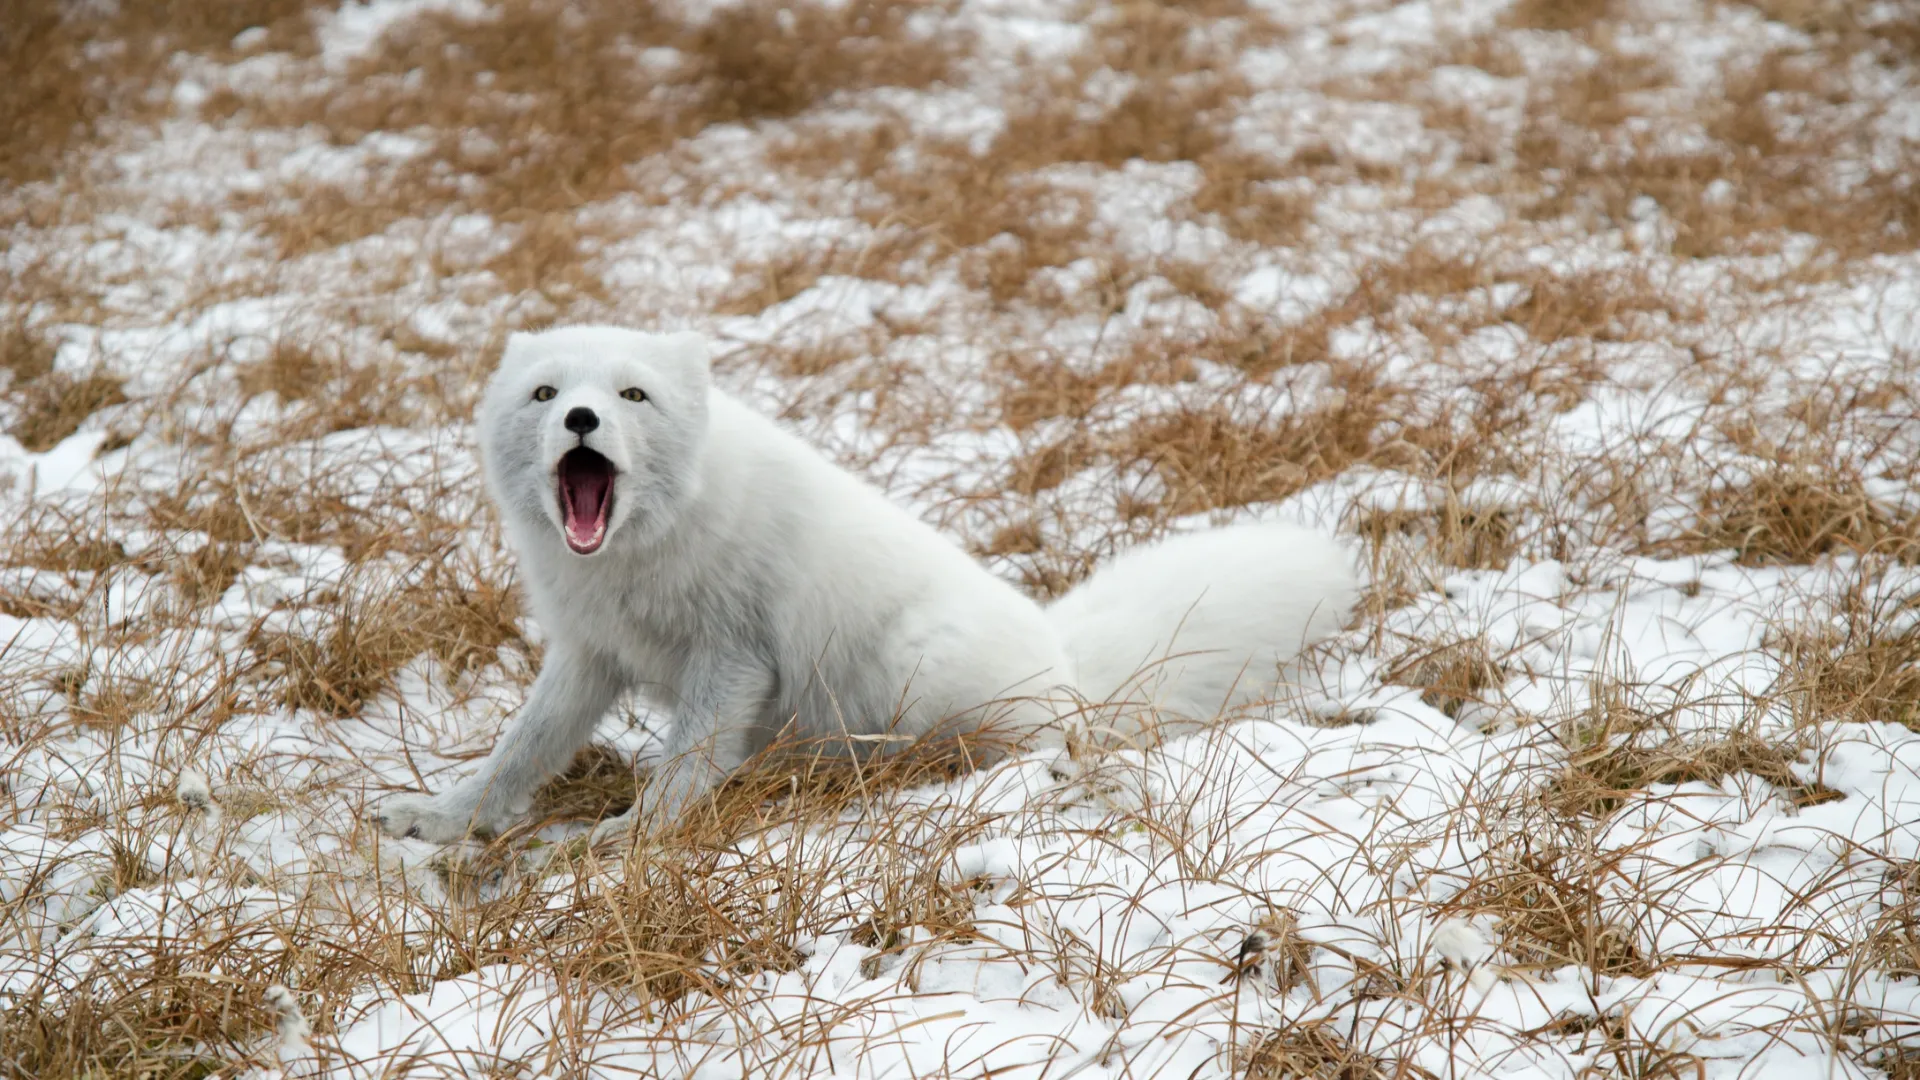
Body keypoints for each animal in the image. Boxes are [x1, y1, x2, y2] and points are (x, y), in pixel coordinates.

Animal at [374, 322, 1359, 845]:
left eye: (632, 396)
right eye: (545, 395)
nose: (581, 418)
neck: (635, 555)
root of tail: (1069, 668)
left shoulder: (733, 657)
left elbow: (685, 763)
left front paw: (636, 836)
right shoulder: (589, 654)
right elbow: (522, 747)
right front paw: (444, 819)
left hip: (917, 672)